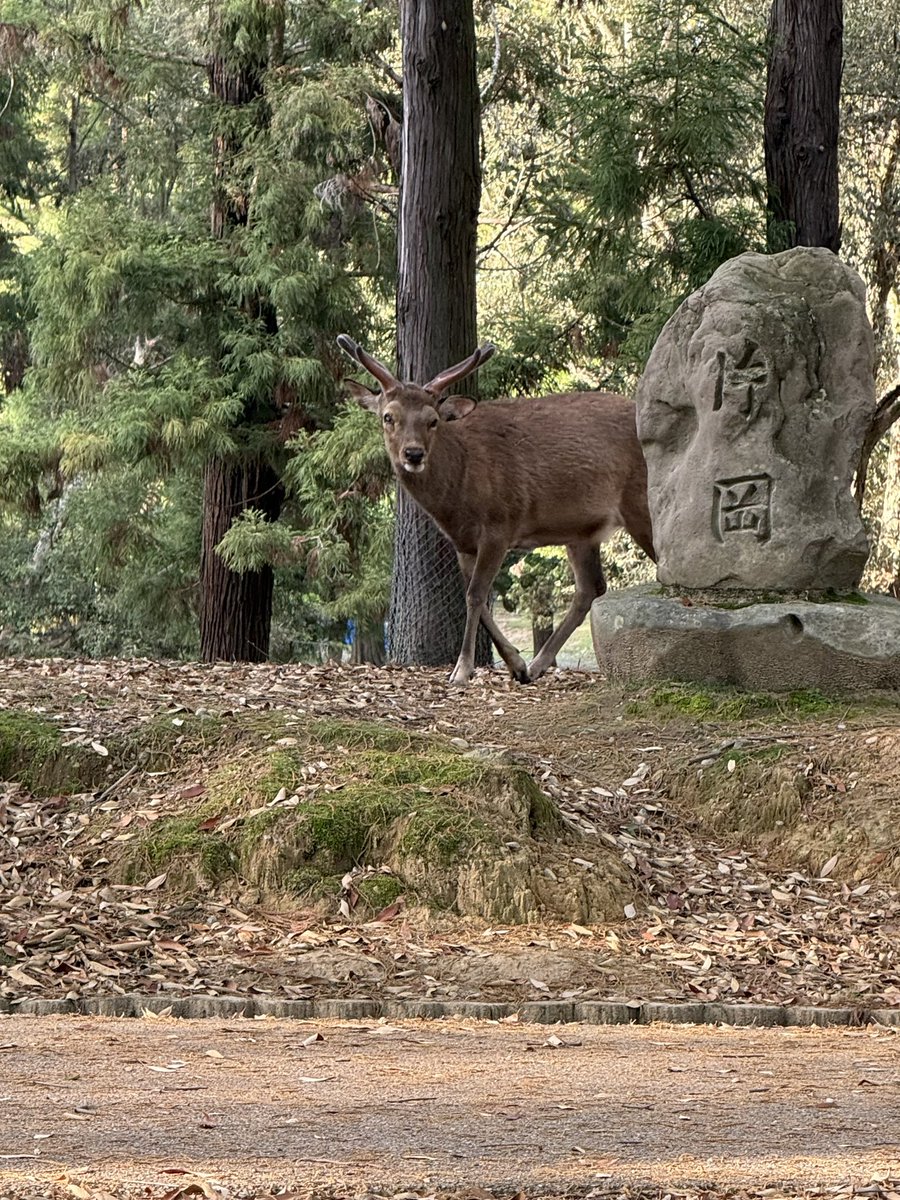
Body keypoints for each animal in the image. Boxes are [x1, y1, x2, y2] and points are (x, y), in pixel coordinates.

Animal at [337, 335, 656, 685]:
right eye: (388, 417)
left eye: (432, 420)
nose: (414, 454)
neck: (457, 494)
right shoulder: (463, 542)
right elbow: (476, 597)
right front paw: (515, 663)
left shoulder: (499, 525)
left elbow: (475, 595)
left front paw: (462, 669)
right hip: (581, 531)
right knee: (590, 588)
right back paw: (537, 664)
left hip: (640, 504)